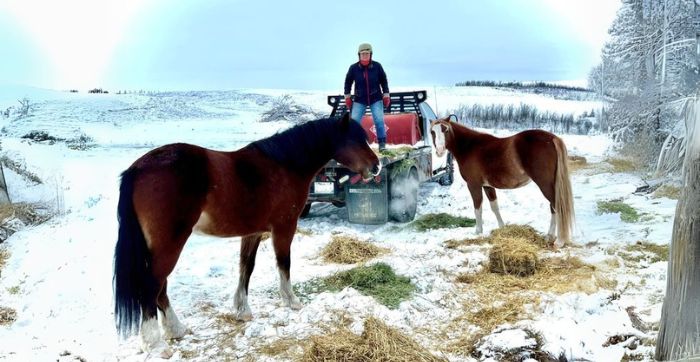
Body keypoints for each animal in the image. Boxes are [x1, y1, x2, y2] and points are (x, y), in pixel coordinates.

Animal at [113, 114, 380, 358]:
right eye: (356, 140)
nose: (376, 166)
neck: (284, 166)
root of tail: (137, 169)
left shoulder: (253, 233)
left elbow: (246, 268)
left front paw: (242, 310)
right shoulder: (284, 227)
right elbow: (284, 264)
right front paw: (291, 301)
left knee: (161, 289)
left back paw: (176, 329)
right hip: (169, 245)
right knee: (152, 286)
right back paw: (155, 344)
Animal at [432, 115, 576, 246]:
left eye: (445, 130)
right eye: (432, 131)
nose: (439, 151)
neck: (469, 147)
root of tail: (553, 138)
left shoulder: (474, 185)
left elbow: (478, 208)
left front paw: (478, 231)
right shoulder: (488, 186)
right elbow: (494, 207)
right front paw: (502, 228)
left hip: (545, 184)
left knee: (557, 206)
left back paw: (559, 241)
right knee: (553, 208)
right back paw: (549, 236)